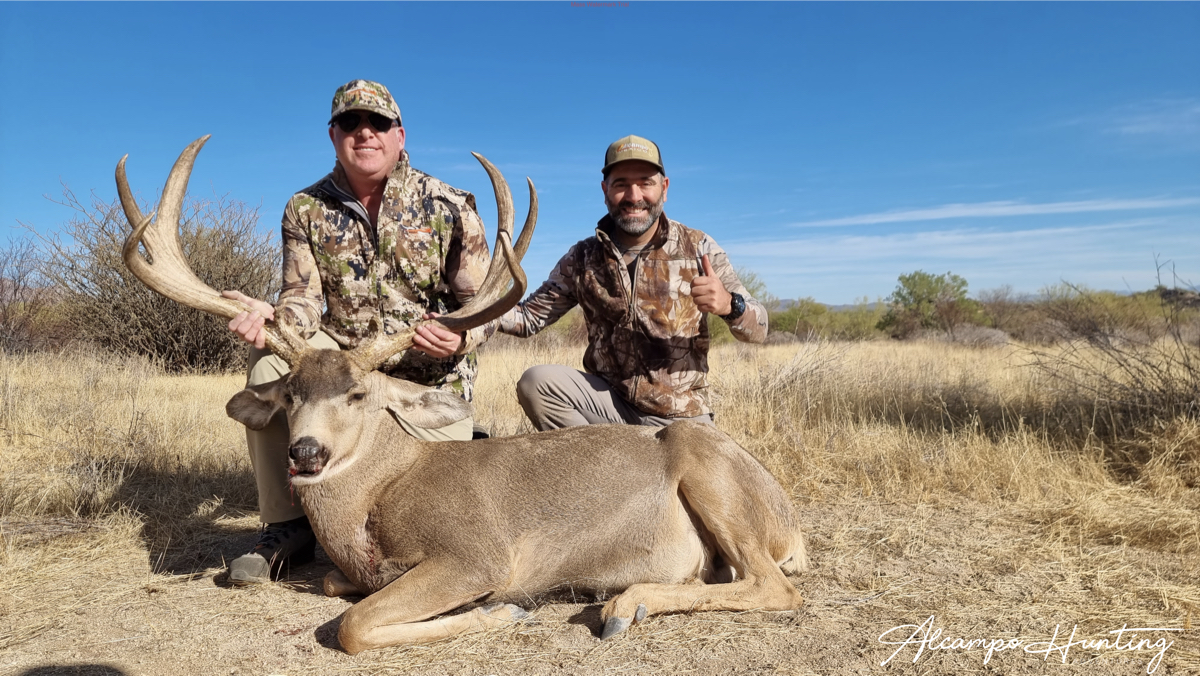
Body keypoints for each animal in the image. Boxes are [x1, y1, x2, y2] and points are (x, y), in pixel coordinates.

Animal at [116, 137, 809, 655]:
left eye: (359, 394)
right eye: (289, 396)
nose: (306, 453)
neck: (376, 500)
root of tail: (789, 521)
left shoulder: (476, 554)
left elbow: (354, 625)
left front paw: (503, 614)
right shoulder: (364, 569)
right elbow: (341, 590)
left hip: (706, 464)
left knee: (776, 586)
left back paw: (622, 604)